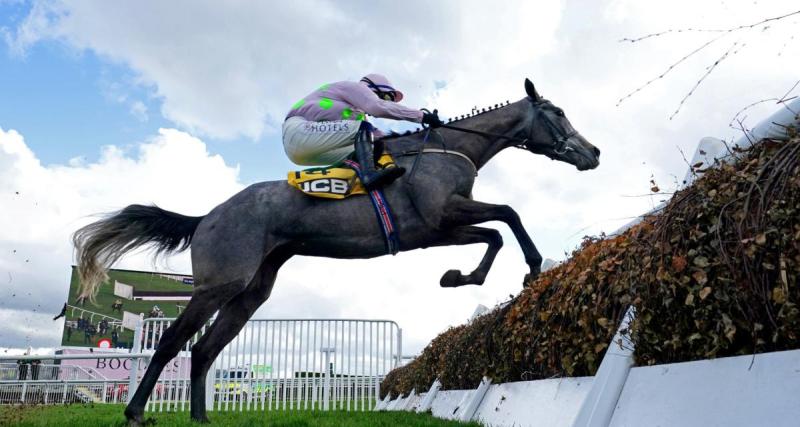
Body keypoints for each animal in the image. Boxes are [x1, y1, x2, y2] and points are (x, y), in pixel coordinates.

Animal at [75, 79, 596, 424]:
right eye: (557, 111)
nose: (593, 153)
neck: (447, 149)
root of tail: (206, 216)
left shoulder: (434, 232)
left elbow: (496, 232)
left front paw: (460, 277)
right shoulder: (440, 217)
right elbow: (508, 216)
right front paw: (530, 267)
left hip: (251, 292)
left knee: (203, 350)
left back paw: (201, 418)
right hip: (219, 283)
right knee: (172, 342)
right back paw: (135, 412)